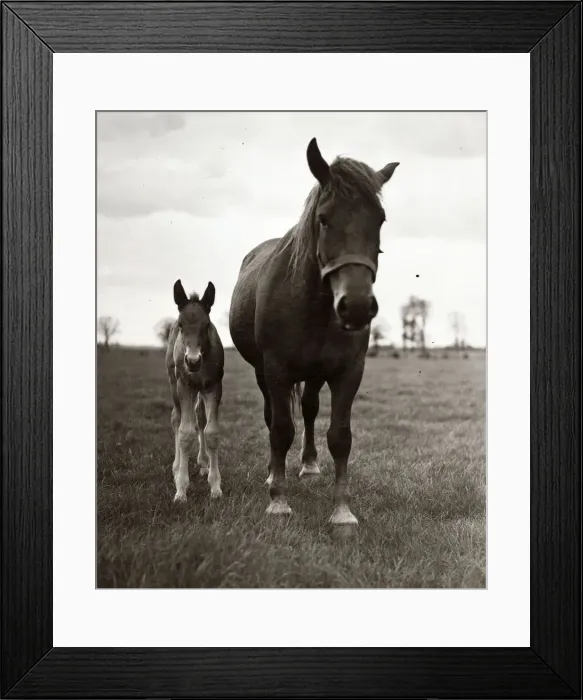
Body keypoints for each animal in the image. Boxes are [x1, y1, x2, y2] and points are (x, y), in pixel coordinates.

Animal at [166, 279, 224, 502]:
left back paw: (204, 462)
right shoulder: (185, 386)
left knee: (200, 417)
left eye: (207, 325)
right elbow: (185, 433)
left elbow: (212, 432)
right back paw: (176, 467)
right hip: (174, 383)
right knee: (176, 418)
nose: (192, 361)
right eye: (181, 325)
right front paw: (181, 489)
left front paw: (215, 486)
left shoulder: (214, 386)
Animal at [229, 138, 399, 530]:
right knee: (274, 418)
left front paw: (342, 511)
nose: (356, 306)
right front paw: (278, 501)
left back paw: (307, 465)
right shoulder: (276, 370)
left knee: (308, 409)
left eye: (380, 219)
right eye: (323, 219)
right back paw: (272, 473)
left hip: (315, 374)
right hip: (263, 372)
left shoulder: (347, 372)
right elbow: (280, 429)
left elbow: (340, 436)